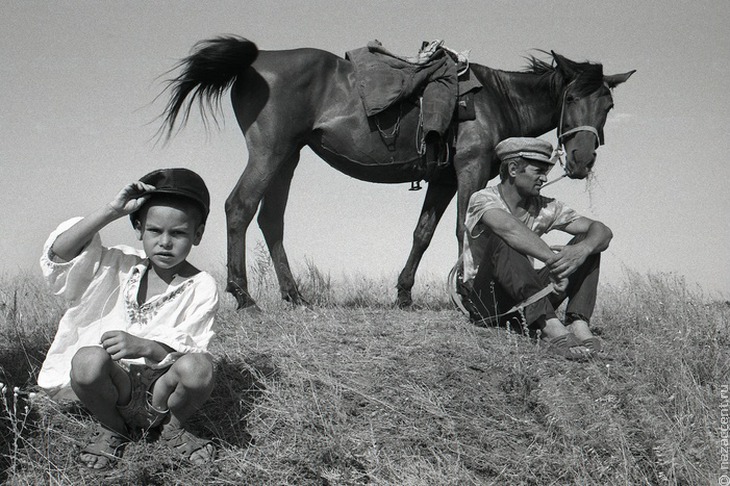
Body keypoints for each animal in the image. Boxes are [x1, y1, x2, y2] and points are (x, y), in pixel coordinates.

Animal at [159, 37, 632, 312]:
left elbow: (422, 233)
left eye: (608, 104)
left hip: (287, 157)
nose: (582, 159)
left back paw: (294, 296)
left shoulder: (442, 180)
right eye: (571, 97)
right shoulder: (470, 170)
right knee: (239, 207)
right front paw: (465, 293)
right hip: (269, 152)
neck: (496, 98)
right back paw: (244, 297)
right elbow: (464, 229)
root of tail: (256, 60)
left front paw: (404, 294)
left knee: (270, 219)